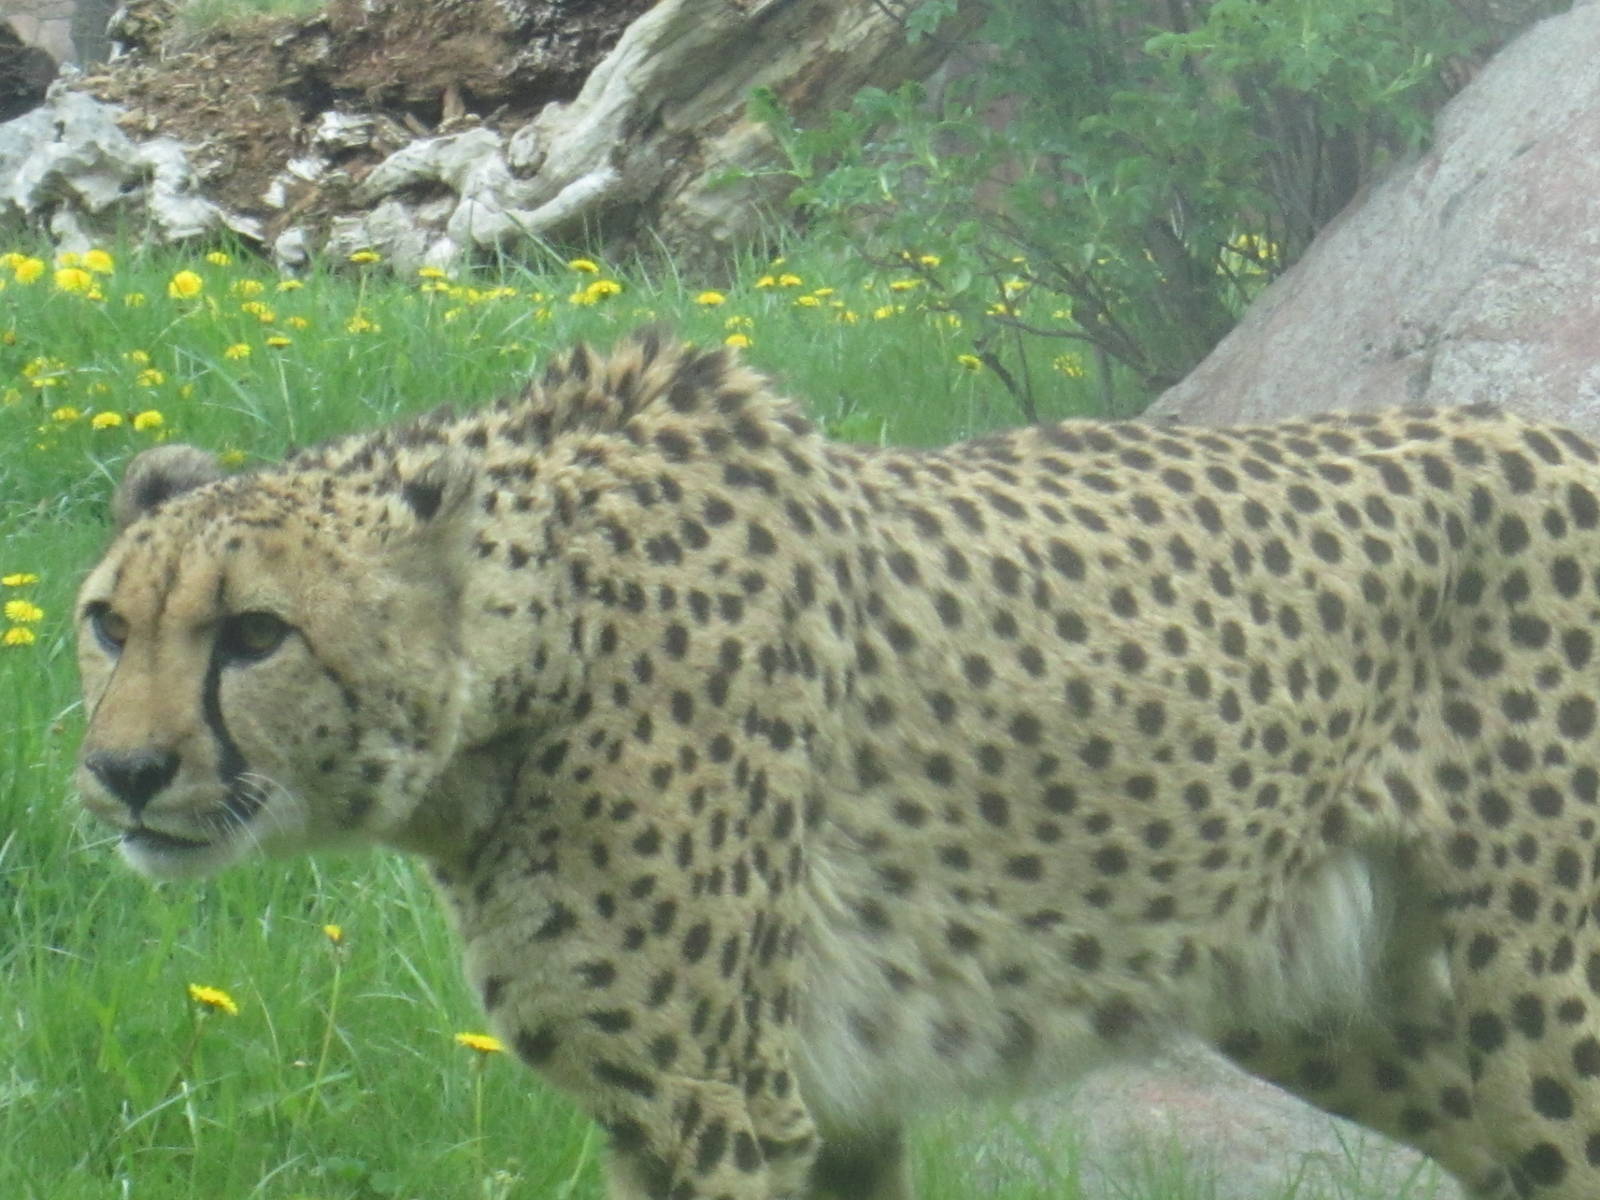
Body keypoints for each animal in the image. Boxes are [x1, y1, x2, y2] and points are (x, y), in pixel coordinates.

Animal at [74, 329, 1600, 1200]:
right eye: (108, 625)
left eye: (255, 633)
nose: (126, 772)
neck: (541, 640)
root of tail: (1548, 427)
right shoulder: (815, 1106)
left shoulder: (719, 1105)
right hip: (1332, 1002)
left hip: (1544, 1007)